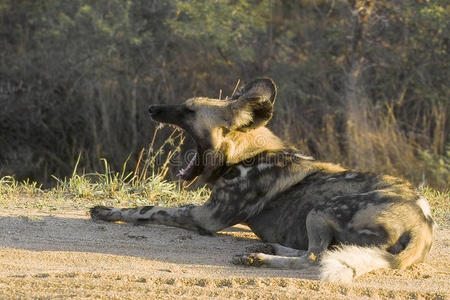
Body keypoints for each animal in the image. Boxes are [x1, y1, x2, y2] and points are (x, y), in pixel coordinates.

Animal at [90, 78, 436, 282]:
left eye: (188, 111)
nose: (151, 108)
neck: (245, 154)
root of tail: (422, 224)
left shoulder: (205, 216)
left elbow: (146, 209)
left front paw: (108, 212)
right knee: (321, 252)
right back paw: (269, 247)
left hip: (322, 210)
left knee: (315, 258)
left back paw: (256, 258)